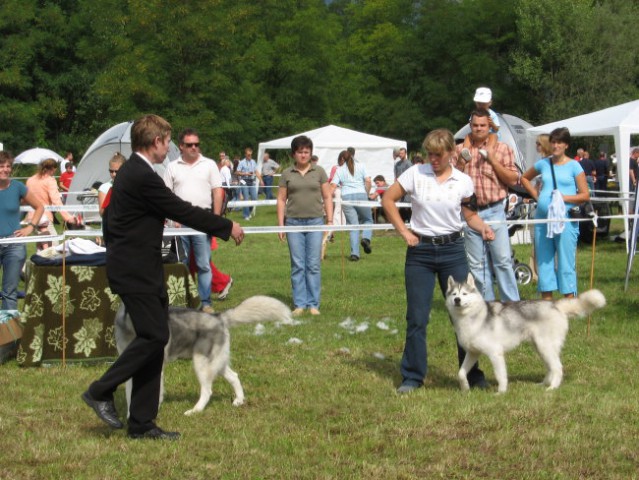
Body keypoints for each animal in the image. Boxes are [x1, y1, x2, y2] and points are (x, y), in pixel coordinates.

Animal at [115, 294, 292, 414]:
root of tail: (218, 317)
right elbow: (130, 395)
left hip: (201, 363)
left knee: (207, 390)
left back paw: (195, 410)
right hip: (217, 363)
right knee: (234, 376)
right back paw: (239, 401)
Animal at [444, 274, 604, 394]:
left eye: (464, 294)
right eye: (454, 294)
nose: (457, 300)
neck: (471, 317)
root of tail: (554, 304)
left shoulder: (495, 353)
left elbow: (501, 376)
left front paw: (501, 392)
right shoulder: (473, 353)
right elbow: (461, 373)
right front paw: (465, 389)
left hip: (544, 346)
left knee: (557, 368)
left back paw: (552, 388)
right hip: (540, 348)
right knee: (550, 368)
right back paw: (543, 384)